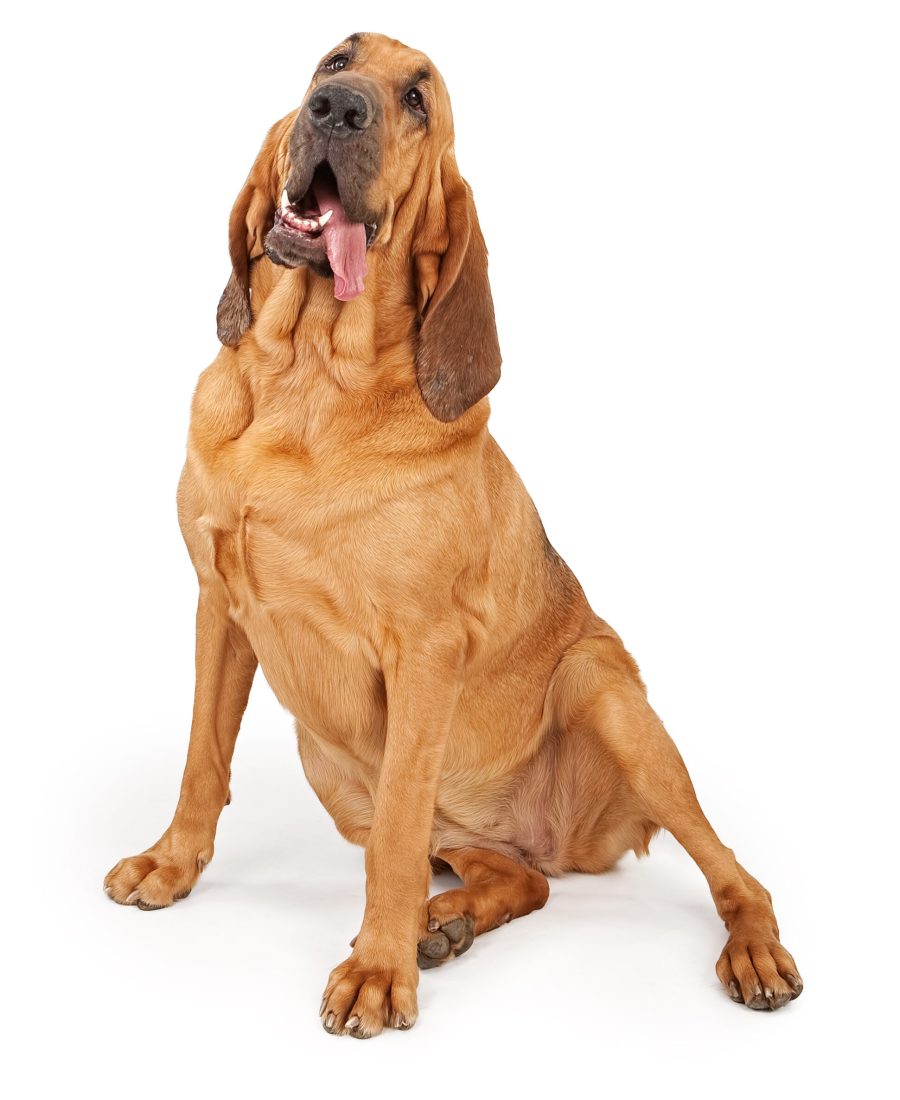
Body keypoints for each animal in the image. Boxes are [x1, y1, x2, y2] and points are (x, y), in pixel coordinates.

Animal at [103, 30, 800, 1034]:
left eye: (418, 102)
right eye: (332, 61)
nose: (338, 110)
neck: (305, 380)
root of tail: (561, 841)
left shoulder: (424, 653)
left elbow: (397, 833)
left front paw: (378, 970)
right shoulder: (218, 610)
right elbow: (204, 756)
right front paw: (172, 864)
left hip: (607, 696)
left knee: (735, 873)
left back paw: (746, 951)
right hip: (334, 767)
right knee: (519, 880)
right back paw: (450, 920)